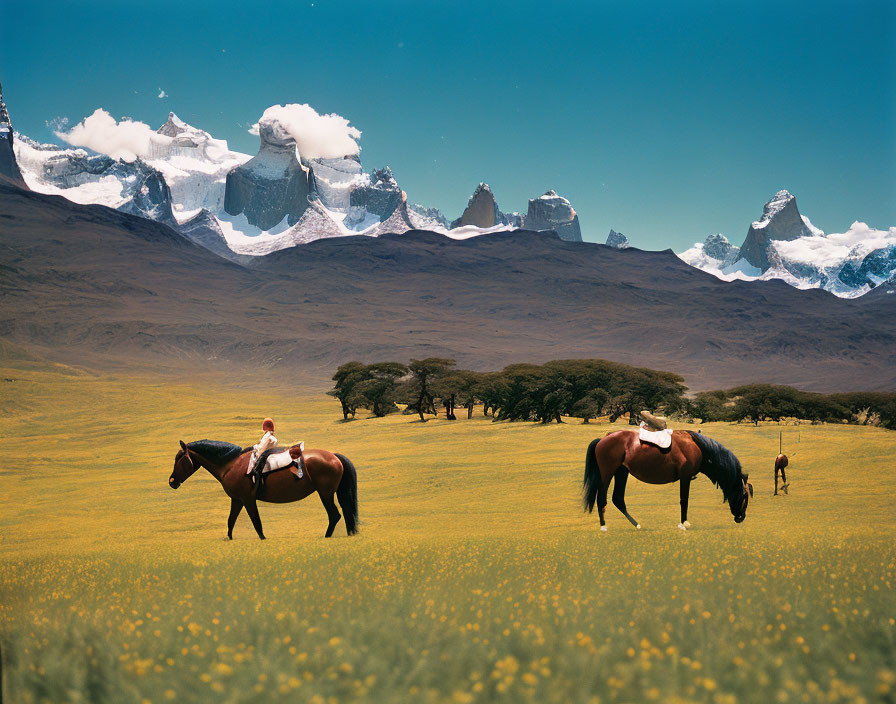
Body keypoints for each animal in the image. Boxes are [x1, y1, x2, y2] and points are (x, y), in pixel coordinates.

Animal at [168, 440, 356, 540]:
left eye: (179, 458)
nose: (171, 481)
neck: (231, 465)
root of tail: (334, 456)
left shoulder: (248, 500)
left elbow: (256, 522)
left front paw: (263, 539)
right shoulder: (237, 500)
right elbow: (230, 521)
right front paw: (229, 539)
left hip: (325, 494)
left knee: (335, 515)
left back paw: (326, 537)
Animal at [584, 428, 752, 532]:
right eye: (745, 496)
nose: (741, 517)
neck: (697, 447)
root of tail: (604, 438)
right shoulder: (685, 477)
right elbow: (684, 500)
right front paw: (684, 524)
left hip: (621, 472)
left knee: (618, 499)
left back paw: (637, 525)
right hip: (607, 473)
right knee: (601, 498)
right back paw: (603, 526)